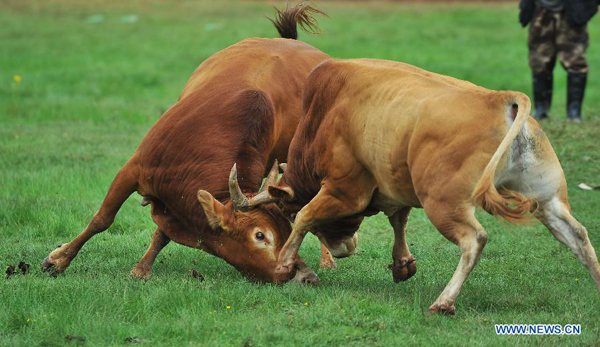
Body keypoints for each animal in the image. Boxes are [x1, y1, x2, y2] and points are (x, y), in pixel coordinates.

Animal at [40, 4, 336, 284]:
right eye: (260, 236)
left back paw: (328, 258)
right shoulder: (133, 169)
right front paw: (60, 259)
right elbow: (103, 218)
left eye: (285, 233)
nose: (306, 276)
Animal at [241, 58, 600, 314]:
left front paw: (285, 263)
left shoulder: (345, 191)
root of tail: (500, 100)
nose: (343, 249)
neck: (326, 111)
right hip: (547, 199)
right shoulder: (393, 187)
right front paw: (402, 265)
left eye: (287, 210)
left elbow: (308, 217)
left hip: (444, 204)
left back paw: (444, 302)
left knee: (474, 239)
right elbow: (398, 219)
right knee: (577, 235)